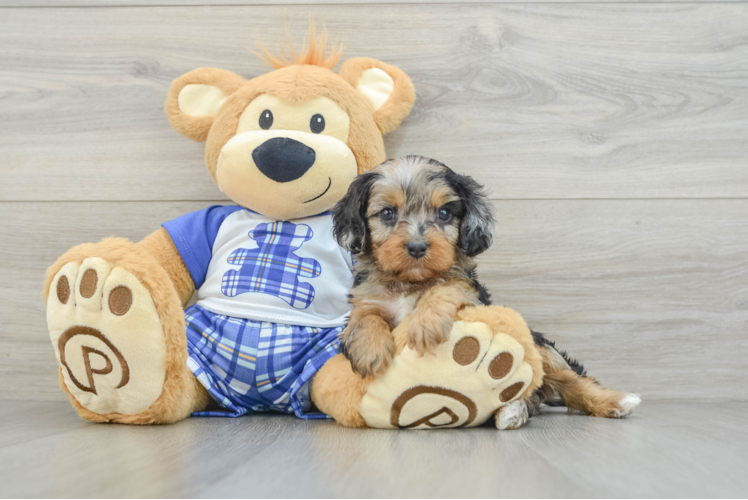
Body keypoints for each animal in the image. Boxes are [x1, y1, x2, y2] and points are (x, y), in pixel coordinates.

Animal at [330, 154, 640, 428]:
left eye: (444, 213)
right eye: (387, 213)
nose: (417, 247)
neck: (411, 282)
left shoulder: (473, 298)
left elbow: (448, 286)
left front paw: (426, 323)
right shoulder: (365, 300)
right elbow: (364, 318)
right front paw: (371, 351)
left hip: (539, 347)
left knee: (569, 381)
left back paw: (612, 401)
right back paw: (514, 410)